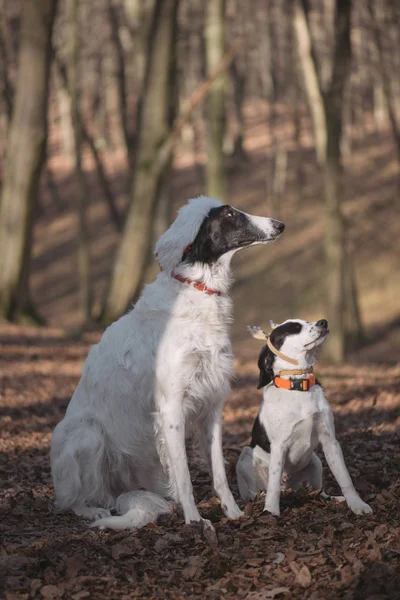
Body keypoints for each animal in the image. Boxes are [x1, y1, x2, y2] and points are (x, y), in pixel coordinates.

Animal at [51, 196, 286, 528]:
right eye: (229, 214)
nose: (280, 224)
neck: (197, 291)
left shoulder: (212, 406)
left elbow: (218, 472)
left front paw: (233, 512)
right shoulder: (171, 406)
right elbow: (184, 476)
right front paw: (195, 520)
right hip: (88, 435)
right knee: (70, 500)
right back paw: (91, 510)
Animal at [238, 322, 372, 516]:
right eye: (294, 327)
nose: (323, 321)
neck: (299, 386)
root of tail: (288, 487)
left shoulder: (330, 441)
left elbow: (344, 477)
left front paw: (356, 504)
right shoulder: (279, 446)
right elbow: (273, 486)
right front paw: (271, 511)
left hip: (315, 462)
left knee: (319, 493)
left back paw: (335, 499)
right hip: (245, 457)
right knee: (256, 492)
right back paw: (261, 498)